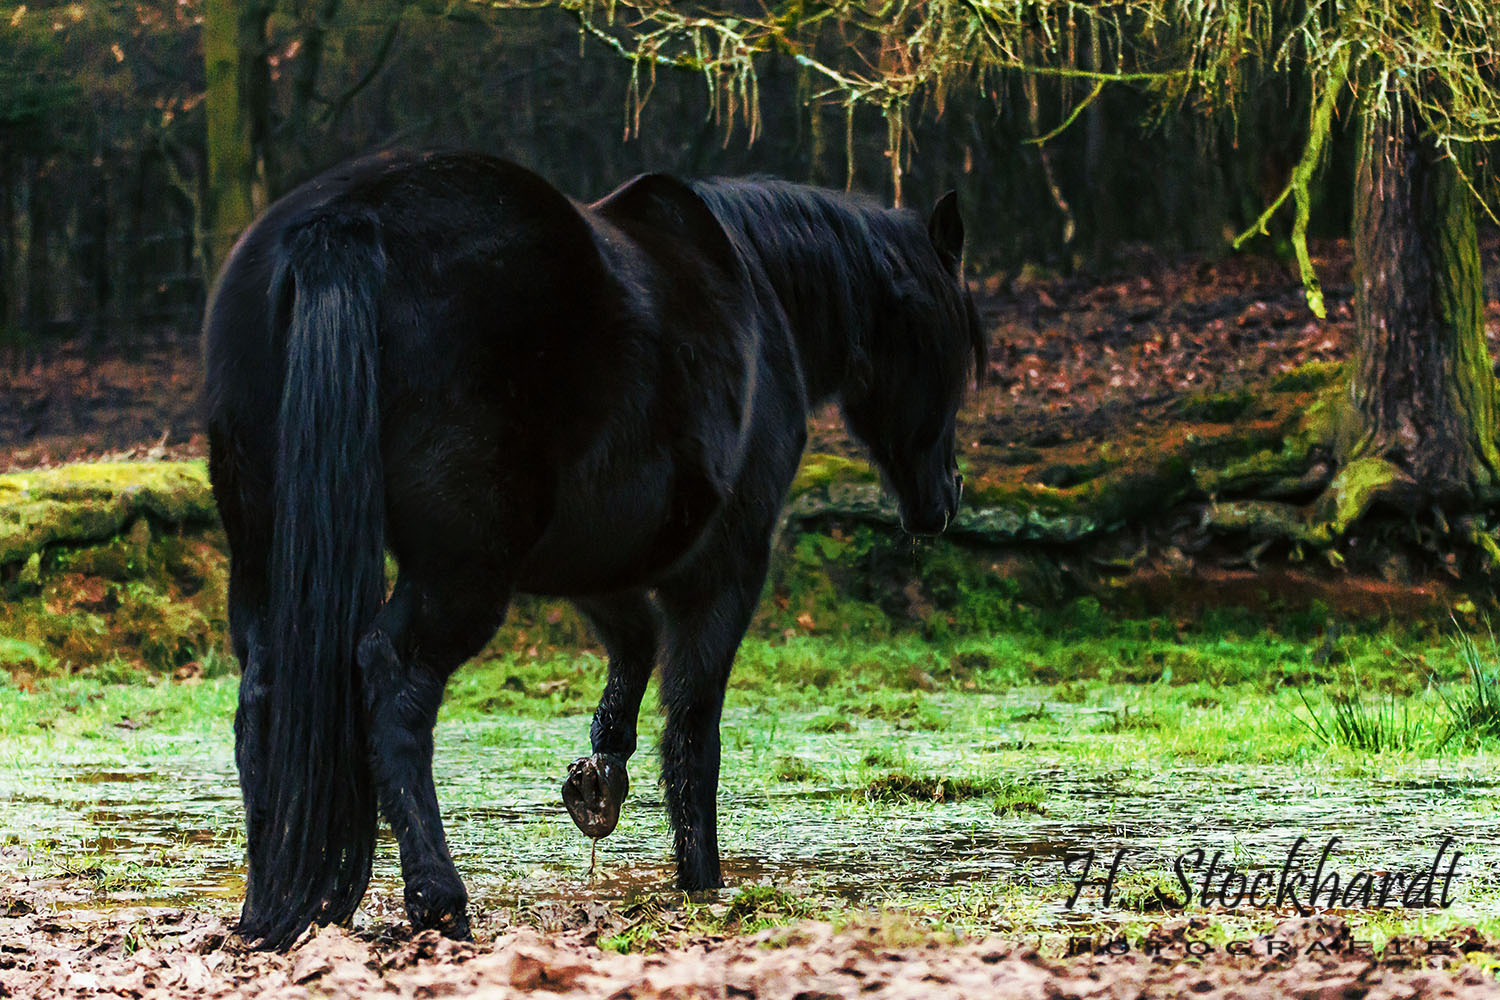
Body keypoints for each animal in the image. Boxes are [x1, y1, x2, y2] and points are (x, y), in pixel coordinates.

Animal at [205, 148, 990, 947]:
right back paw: (438, 899)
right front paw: (702, 881)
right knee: (394, 681)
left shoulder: (594, 558)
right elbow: (693, 729)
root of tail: (341, 229)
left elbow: (636, 646)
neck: (760, 288)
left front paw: (598, 779)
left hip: (270, 553)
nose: (944, 498)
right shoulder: (725, 568)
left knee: (261, 701)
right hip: (462, 573)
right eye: (959, 342)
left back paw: (266, 903)